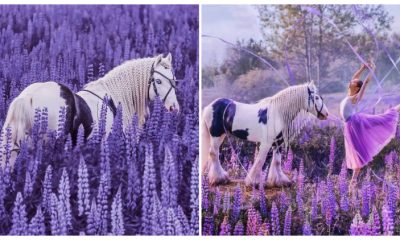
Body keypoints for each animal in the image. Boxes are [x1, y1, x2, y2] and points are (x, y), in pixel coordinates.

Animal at [202, 82, 330, 188]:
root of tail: (209, 106)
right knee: (213, 153)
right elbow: (260, 160)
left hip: (221, 135)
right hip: (216, 135)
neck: (277, 113)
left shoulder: (278, 142)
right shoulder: (266, 143)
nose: (326, 114)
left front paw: (279, 181)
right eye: (316, 97)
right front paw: (253, 182)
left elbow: (276, 161)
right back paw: (219, 179)